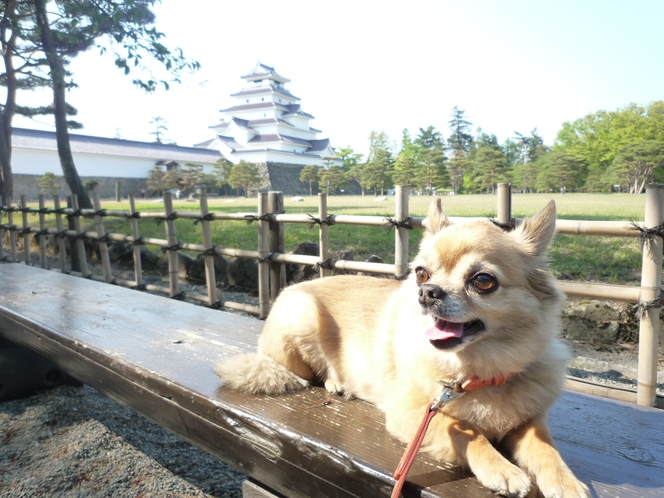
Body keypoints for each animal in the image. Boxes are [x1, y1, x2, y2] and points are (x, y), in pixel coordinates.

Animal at [215, 199, 588, 498]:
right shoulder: (414, 414)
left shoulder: (529, 420)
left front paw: (565, 482)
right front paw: (502, 468)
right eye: (421, 273)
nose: (427, 291)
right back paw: (335, 381)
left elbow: (546, 449)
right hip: (302, 316)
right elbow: (469, 432)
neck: (475, 373)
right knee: (306, 370)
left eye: (483, 281)